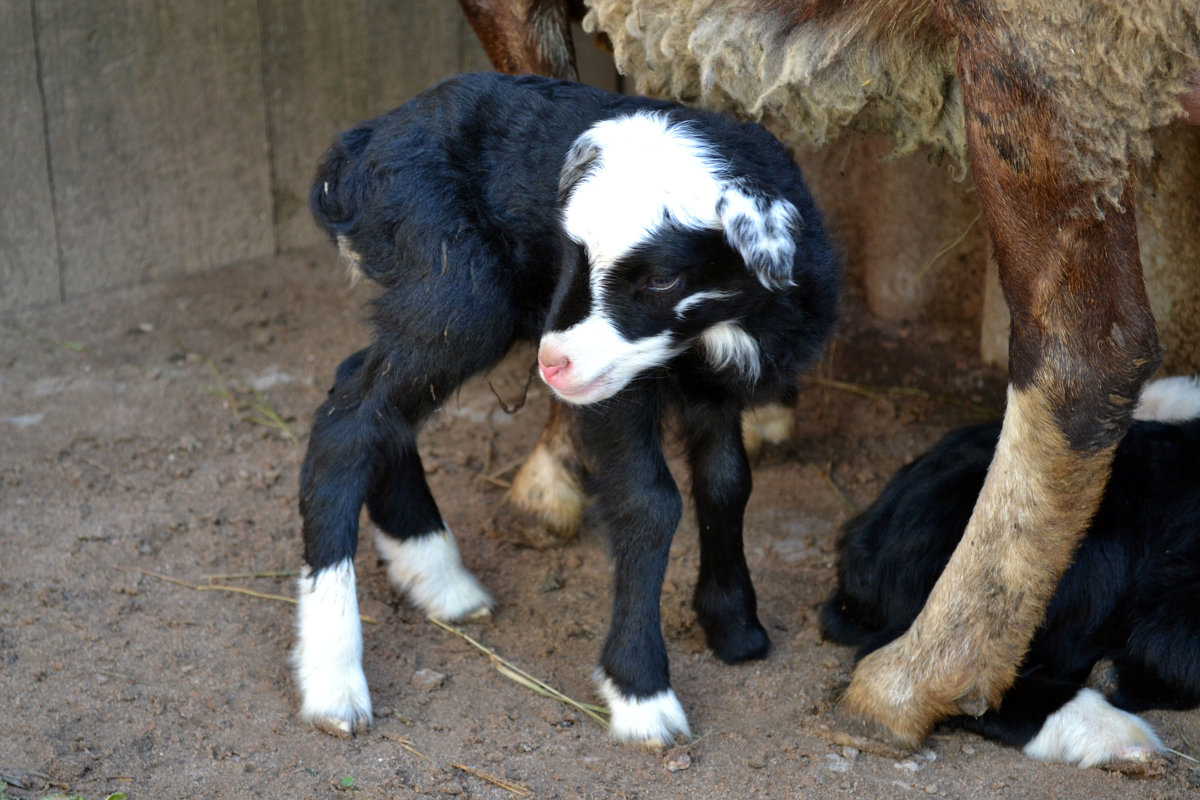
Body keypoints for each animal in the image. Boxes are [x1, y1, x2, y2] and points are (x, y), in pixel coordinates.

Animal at [291, 71, 840, 748]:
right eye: (569, 255)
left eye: (662, 279)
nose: (553, 364)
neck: (712, 334)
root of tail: (362, 147)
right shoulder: (616, 394)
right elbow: (650, 504)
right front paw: (641, 694)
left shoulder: (714, 390)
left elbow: (726, 484)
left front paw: (735, 627)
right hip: (456, 288)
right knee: (347, 425)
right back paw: (335, 683)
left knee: (372, 403)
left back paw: (437, 577)